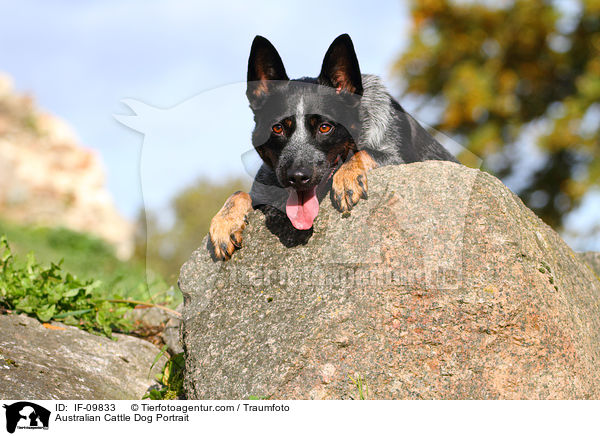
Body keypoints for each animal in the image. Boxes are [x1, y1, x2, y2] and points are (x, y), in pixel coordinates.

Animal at [209, 35, 458, 258]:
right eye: (277, 128)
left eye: (325, 127)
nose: (297, 177)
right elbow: (240, 192)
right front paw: (224, 222)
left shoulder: (400, 157)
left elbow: (365, 152)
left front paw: (347, 177)